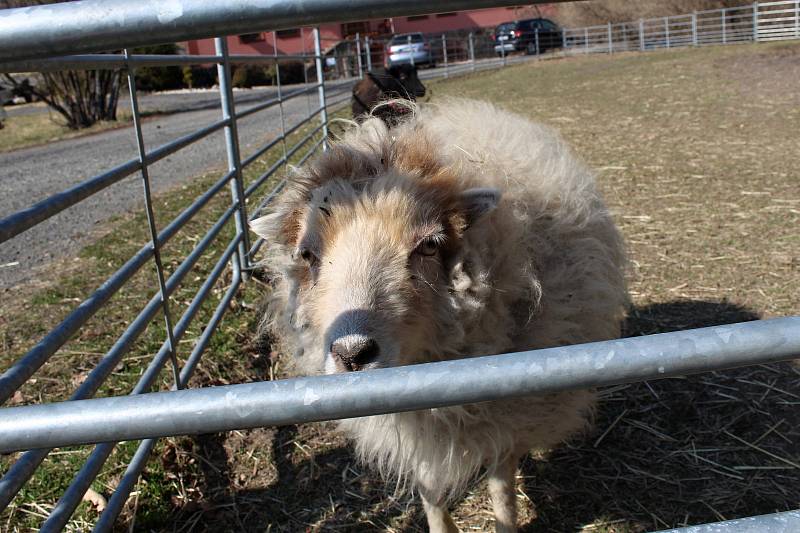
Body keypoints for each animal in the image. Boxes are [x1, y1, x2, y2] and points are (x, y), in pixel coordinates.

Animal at [253, 100, 628, 532]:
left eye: (429, 245)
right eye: (307, 254)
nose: (352, 353)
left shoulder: (506, 413)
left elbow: (501, 483)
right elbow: (429, 490)